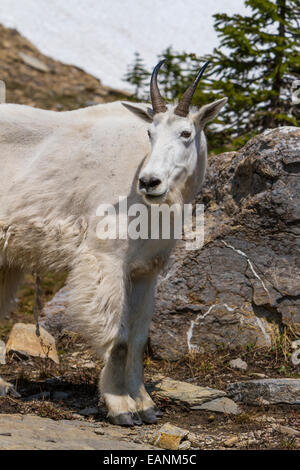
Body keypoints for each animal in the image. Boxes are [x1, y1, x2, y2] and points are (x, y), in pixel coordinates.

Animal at [0, 59, 225, 426]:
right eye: (149, 133)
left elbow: (137, 338)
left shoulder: (146, 271)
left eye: (186, 133)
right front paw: (120, 408)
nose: (149, 182)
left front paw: (146, 405)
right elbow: (118, 338)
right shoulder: (106, 259)